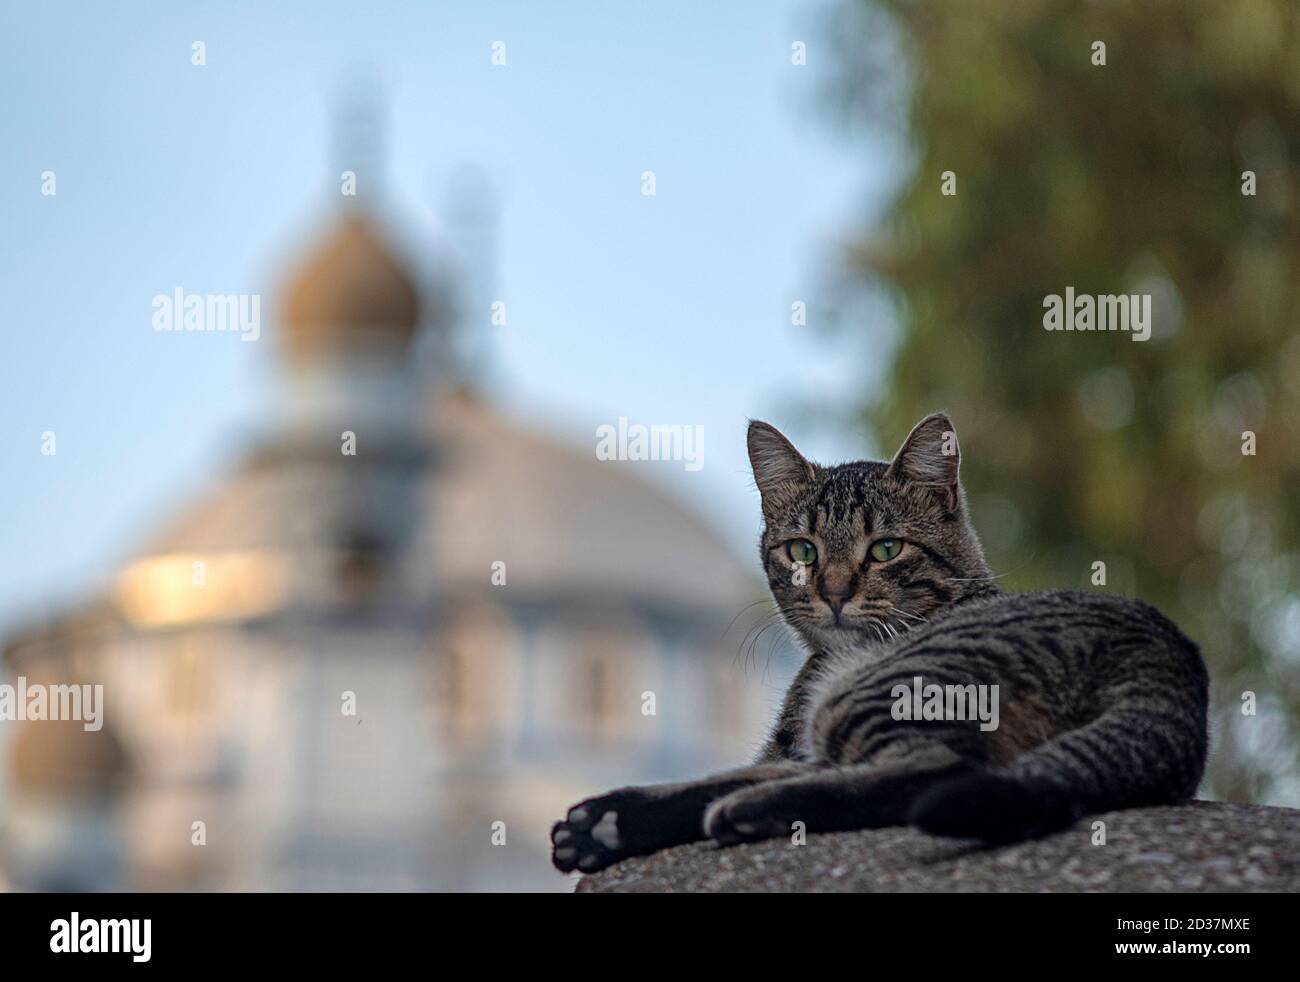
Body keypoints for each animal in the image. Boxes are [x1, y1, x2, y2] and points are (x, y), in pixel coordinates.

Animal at [548, 413, 1206, 874]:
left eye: (886, 549)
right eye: (802, 551)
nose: (835, 592)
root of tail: (1168, 654)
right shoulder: (794, 750)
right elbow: (722, 774)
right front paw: (607, 822)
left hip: (890, 691)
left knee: (937, 772)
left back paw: (748, 815)